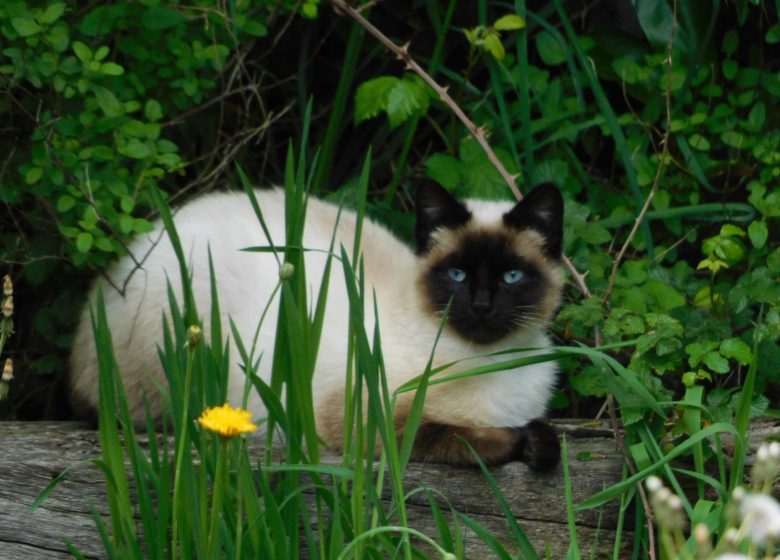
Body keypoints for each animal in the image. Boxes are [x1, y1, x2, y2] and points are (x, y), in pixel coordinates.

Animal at [70, 183, 564, 468]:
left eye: (512, 277)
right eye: (457, 275)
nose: (481, 307)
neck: (491, 363)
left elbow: (544, 430)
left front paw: (540, 446)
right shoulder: (363, 415)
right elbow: (458, 435)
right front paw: (517, 442)